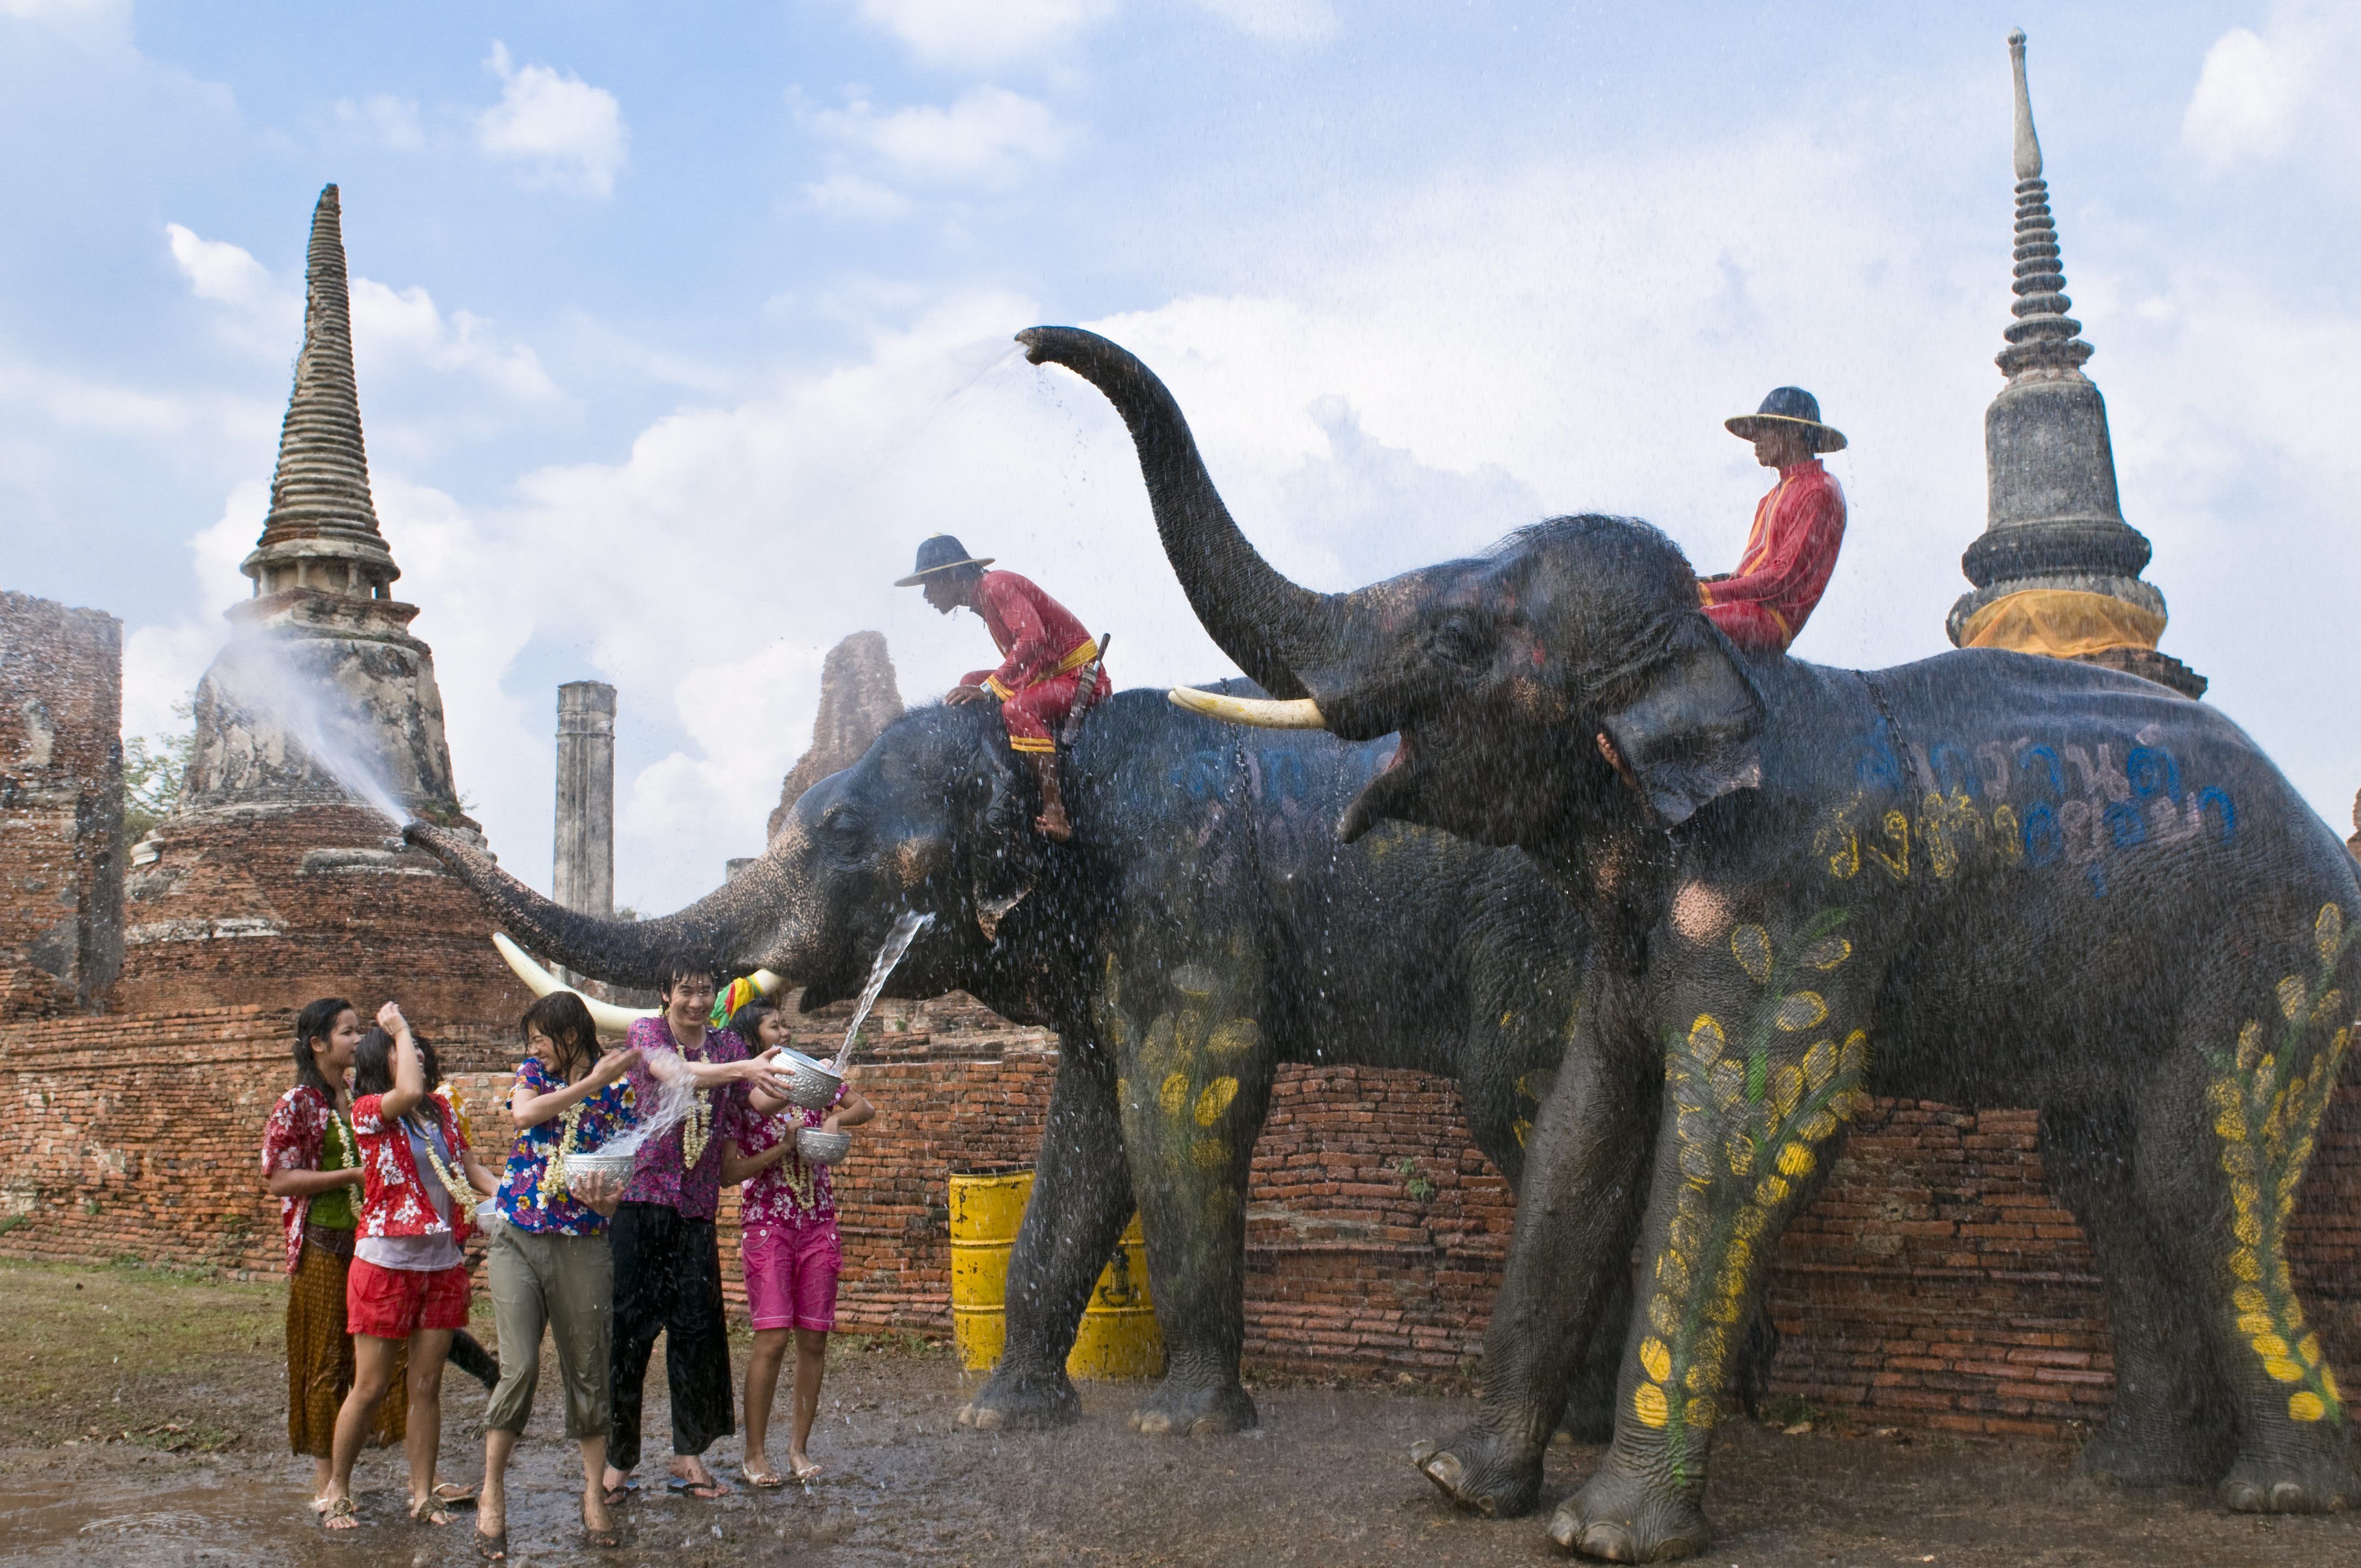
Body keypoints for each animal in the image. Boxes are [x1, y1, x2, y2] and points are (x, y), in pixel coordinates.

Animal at [406, 680, 1690, 1435]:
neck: (1046, 742)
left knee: (1525, 1104)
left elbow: (1191, 1095)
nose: (419, 824)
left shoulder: (1188, 892)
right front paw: (1004, 1416)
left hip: (1546, 935)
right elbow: (1088, 1127)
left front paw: (1183, 1426)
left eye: (840, 832)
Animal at [1024, 323, 2361, 1558]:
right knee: (2100, 1177)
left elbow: (1744, 1133)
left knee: (2195, 1164)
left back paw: (2279, 1493)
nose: (1032, 346)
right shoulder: (1616, 944)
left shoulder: (1797, 899)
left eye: (1460, 641)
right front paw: (1457, 1482)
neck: (1715, 678)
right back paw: (2132, 1475)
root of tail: (2318, 828)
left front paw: (1602, 1533)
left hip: (2276, 952)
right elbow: (1577, 1132)